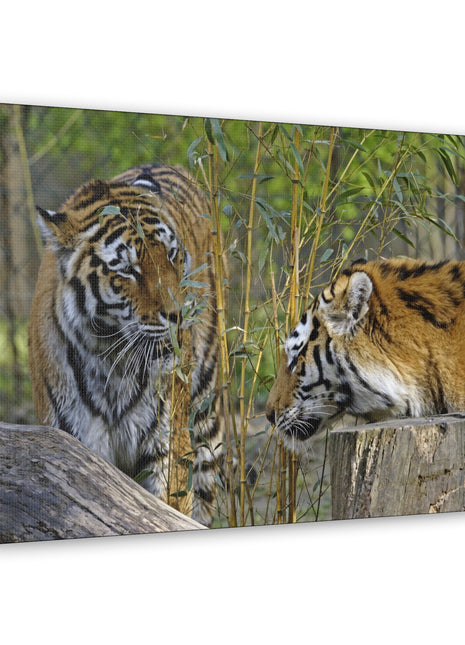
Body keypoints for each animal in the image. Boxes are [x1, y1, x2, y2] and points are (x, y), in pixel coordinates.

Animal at [28, 163, 222, 527]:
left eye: (172, 255)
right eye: (129, 270)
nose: (179, 315)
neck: (112, 359)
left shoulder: (168, 449)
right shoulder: (75, 446)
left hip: (205, 407)